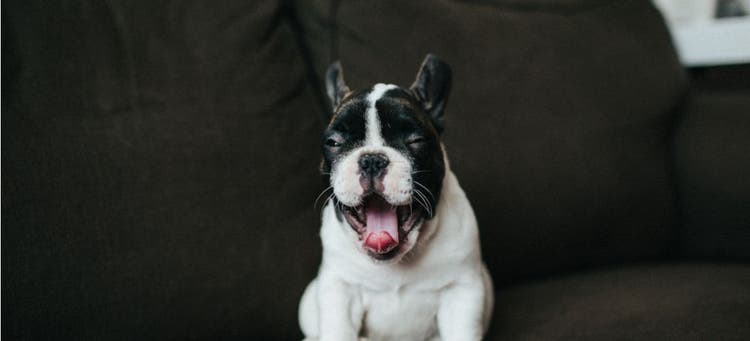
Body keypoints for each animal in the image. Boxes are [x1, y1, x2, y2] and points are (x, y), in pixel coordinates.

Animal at [300, 54, 494, 338]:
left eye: (415, 141)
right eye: (333, 142)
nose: (371, 160)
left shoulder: (461, 292)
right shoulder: (340, 290)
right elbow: (338, 330)